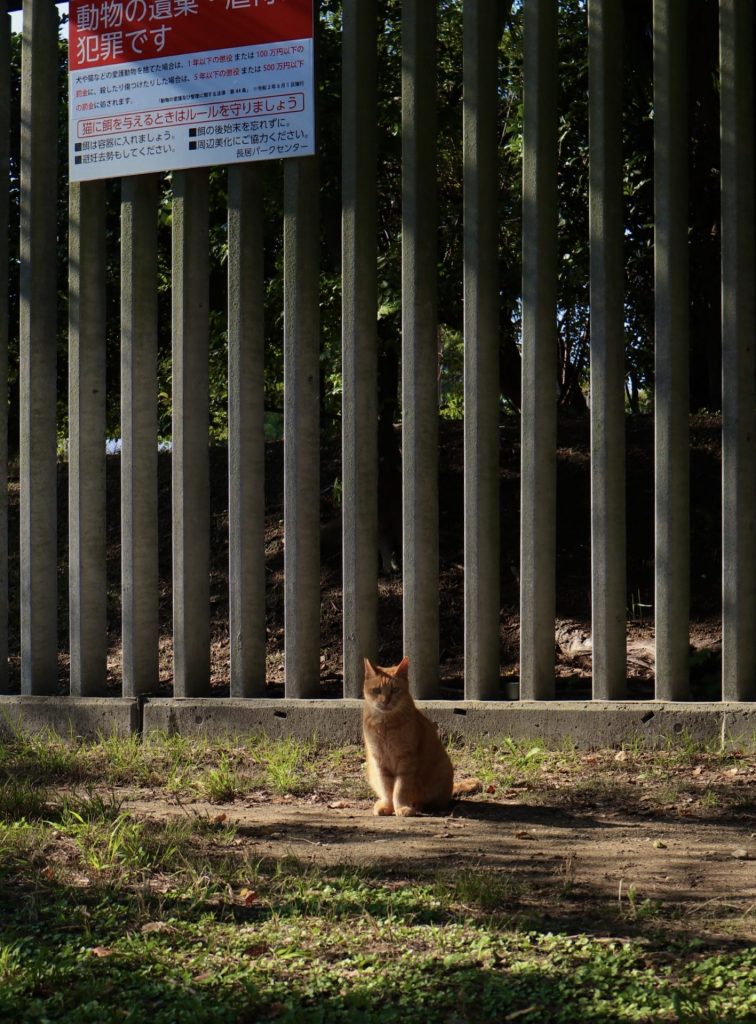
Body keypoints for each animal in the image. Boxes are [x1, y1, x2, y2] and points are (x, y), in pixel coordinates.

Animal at [358, 655, 477, 815]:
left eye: (395, 690)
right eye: (377, 690)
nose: (385, 701)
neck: (385, 724)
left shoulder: (406, 759)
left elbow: (400, 789)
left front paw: (401, 807)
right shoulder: (379, 761)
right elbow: (387, 788)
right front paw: (388, 806)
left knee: (431, 801)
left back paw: (417, 805)